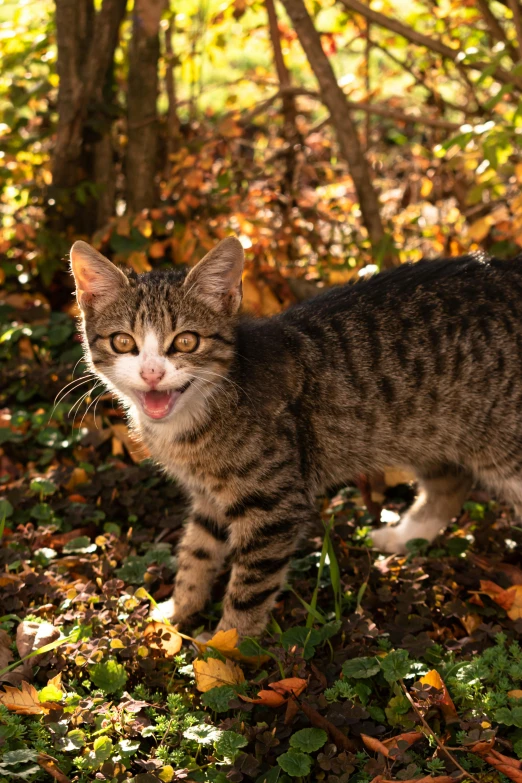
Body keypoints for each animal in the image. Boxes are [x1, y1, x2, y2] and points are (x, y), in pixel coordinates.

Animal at [71, 239, 520, 636]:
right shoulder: (208, 497)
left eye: (185, 340)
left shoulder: (275, 503)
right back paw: (404, 537)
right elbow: (197, 553)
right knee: (451, 482)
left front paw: (225, 648)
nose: (151, 373)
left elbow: (251, 587)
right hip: (425, 428)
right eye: (124, 342)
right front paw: (177, 613)